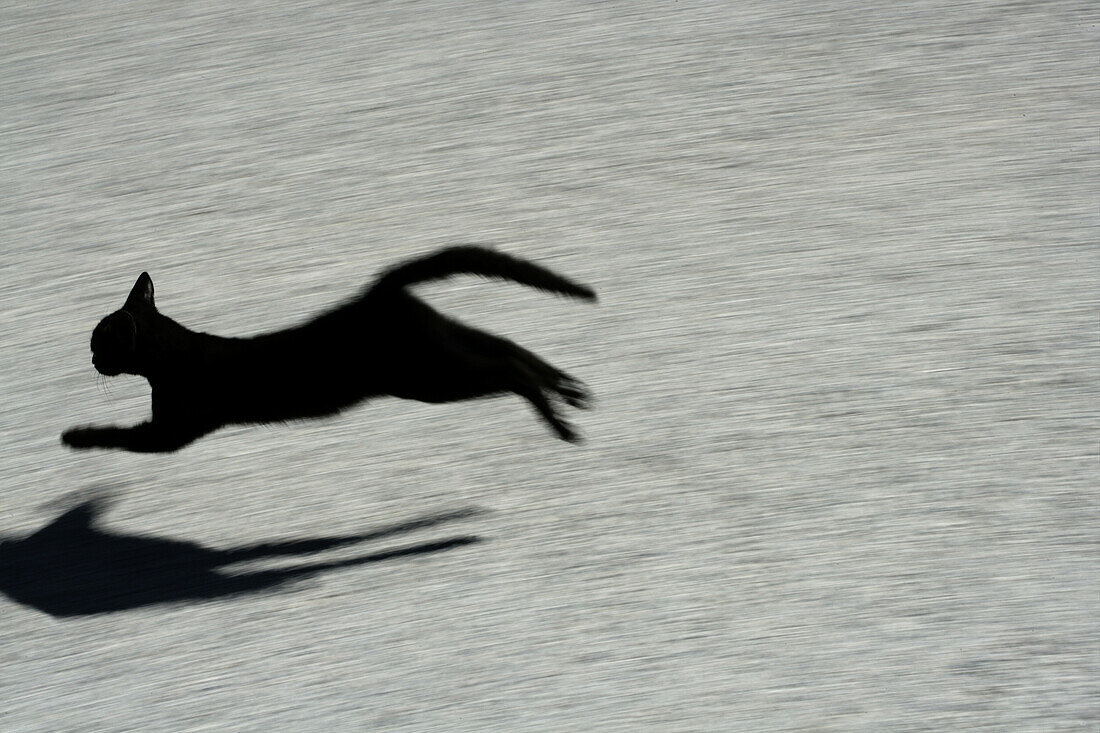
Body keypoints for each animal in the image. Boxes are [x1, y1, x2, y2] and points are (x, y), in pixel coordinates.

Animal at [64, 246, 598, 451]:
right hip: (443, 345)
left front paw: (75, 435)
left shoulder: (170, 432)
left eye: (98, 342)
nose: (90, 359)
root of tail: (377, 292)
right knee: (509, 345)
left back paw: (562, 423)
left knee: (508, 368)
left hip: (428, 376)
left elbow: (120, 435)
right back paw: (571, 390)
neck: (172, 358)